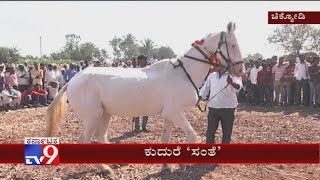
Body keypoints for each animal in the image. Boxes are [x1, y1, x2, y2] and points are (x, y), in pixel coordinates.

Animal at [46, 22, 244, 172]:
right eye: (233, 45)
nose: (241, 70)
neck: (183, 73)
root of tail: (73, 80)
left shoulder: (170, 115)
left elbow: (165, 139)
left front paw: (166, 166)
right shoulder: (175, 113)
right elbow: (192, 136)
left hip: (105, 114)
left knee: (101, 137)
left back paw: (111, 165)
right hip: (92, 116)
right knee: (85, 140)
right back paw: (104, 169)